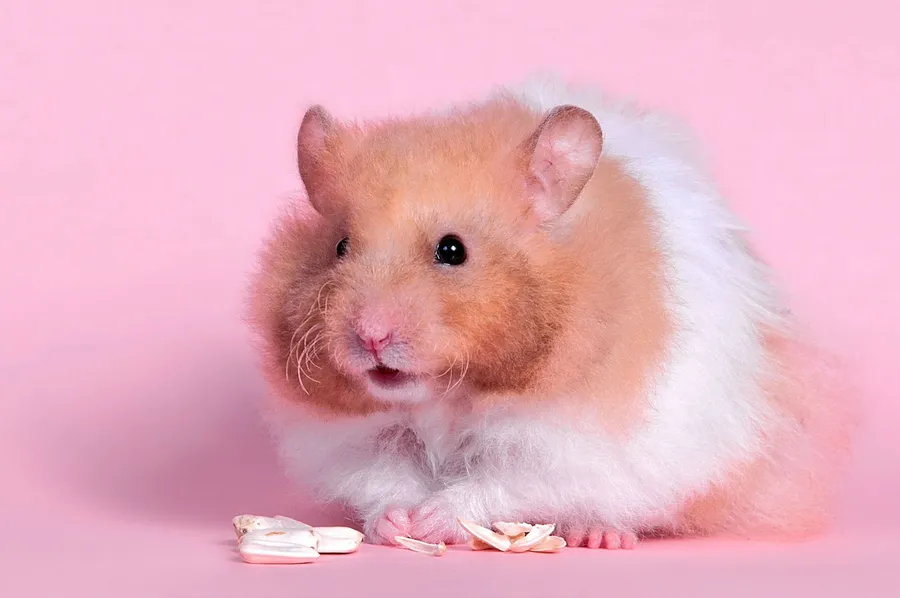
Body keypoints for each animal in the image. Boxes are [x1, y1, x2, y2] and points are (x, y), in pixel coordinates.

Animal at [247, 77, 854, 549]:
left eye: (452, 250)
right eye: (340, 246)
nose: (370, 336)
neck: (450, 395)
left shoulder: (565, 443)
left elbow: (501, 482)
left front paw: (436, 519)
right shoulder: (354, 438)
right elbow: (383, 477)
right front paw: (398, 523)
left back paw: (599, 534)